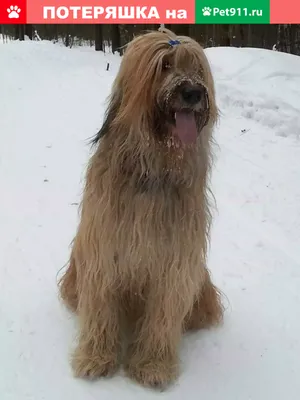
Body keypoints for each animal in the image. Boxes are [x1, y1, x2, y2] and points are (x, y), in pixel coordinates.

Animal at [58, 27, 223, 388]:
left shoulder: (175, 261)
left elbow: (163, 313)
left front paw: (153, 365)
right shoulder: (102, 250)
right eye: (164, 65)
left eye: (197, 69)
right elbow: (100, 305)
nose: (192, 92)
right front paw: (96, 358)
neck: (156, 165)